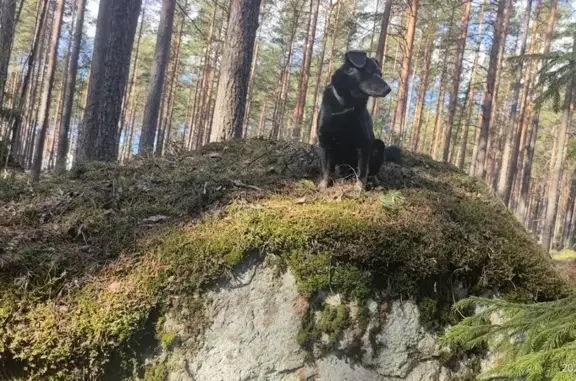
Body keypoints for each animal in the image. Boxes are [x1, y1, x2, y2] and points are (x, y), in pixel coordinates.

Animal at [318, 50, 394, 191]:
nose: (389, 89)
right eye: (369, 72)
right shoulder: (325, 140)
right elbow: (326, 167)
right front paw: (324, 185)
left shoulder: (363, 143)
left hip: (378, 146)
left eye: (380, 74)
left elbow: (363, 170)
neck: (346, 104)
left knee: (372, 172)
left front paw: (359, 188)